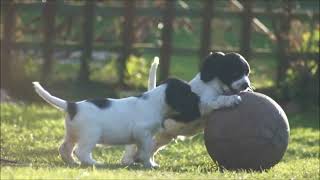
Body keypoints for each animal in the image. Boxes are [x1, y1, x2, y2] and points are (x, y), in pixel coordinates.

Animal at [121, 51, 251, 166]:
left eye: (247, 73)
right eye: (235, 72)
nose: (247, 85)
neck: (215, 84)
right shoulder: (203, 104)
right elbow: (219, 100)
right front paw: (232, 99)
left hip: (164, 137)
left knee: (152, 146)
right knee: (132, 145)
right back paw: (127, 160)